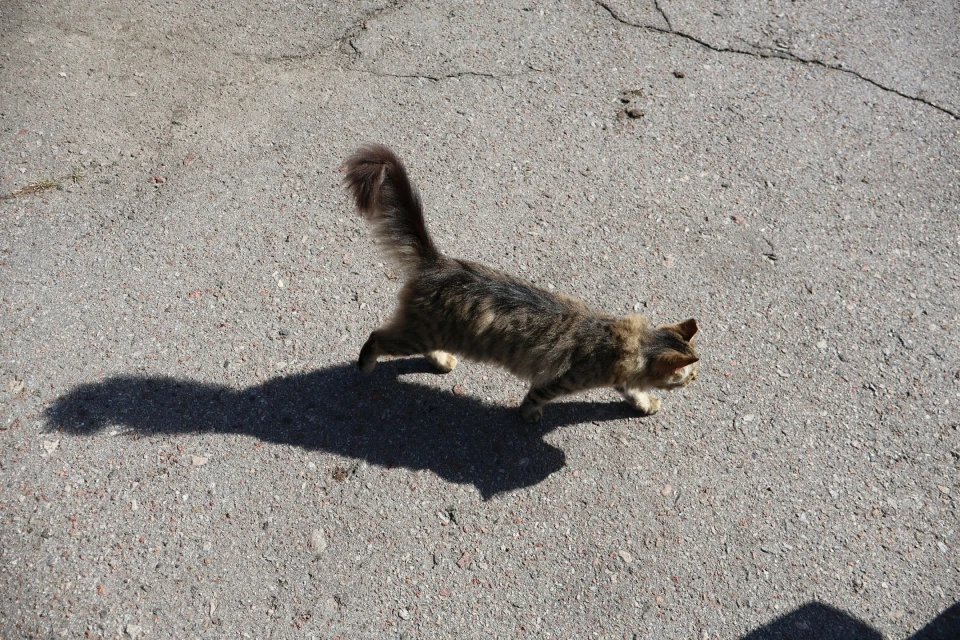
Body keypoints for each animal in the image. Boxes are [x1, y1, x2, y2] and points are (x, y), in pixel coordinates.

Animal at [344, 146, 696, 424]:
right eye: (689, 374)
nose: (695, 380)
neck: (628, 342)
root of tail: (439, 263)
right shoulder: (561, 380)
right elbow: (535, 397)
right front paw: (529, 416)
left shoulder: (619, 377)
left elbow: (632, 391)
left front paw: (645, 402)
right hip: (415, 334)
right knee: (376, 338)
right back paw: (366, 367)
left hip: (431, 330)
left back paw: (442, 360)